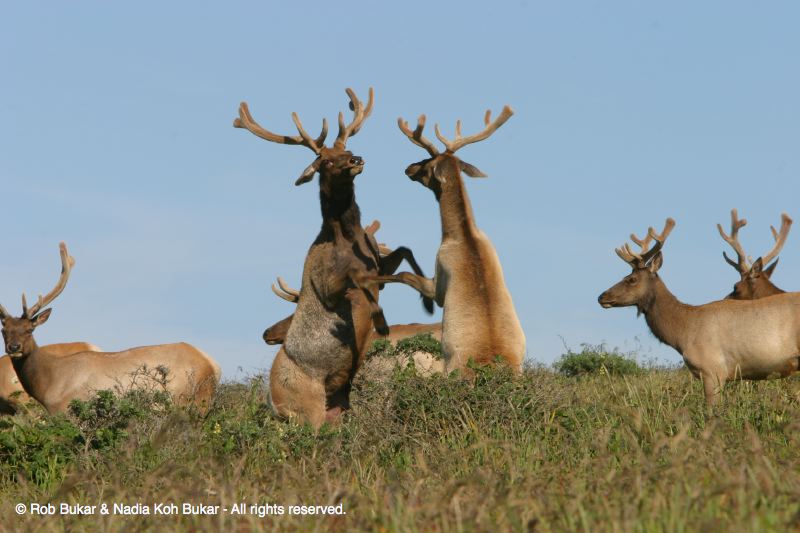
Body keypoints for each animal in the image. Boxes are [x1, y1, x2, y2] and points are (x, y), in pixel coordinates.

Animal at [0, 243, 221, 415]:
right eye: (3, 330)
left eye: (30, 329)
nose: (14, 347)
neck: (49, 385)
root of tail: (213, 365)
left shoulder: (67, 411)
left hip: (188, 401)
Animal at [234, 87, 431, 428]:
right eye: (324, 160)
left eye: (347, 148)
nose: (356, 159)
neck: (348, 239)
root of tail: (273, 400)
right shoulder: (327, 284)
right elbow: (362, 277)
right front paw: (382, 320)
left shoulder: (377, 263)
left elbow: (403, 255)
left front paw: (429, 290)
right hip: (308, 406)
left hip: (337, 406)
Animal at [359, 106, 526, 373]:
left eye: (427, 162)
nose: (409, 167)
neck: (462, 235)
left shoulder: (440, 279)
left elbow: (405, 275)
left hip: (450, 366)